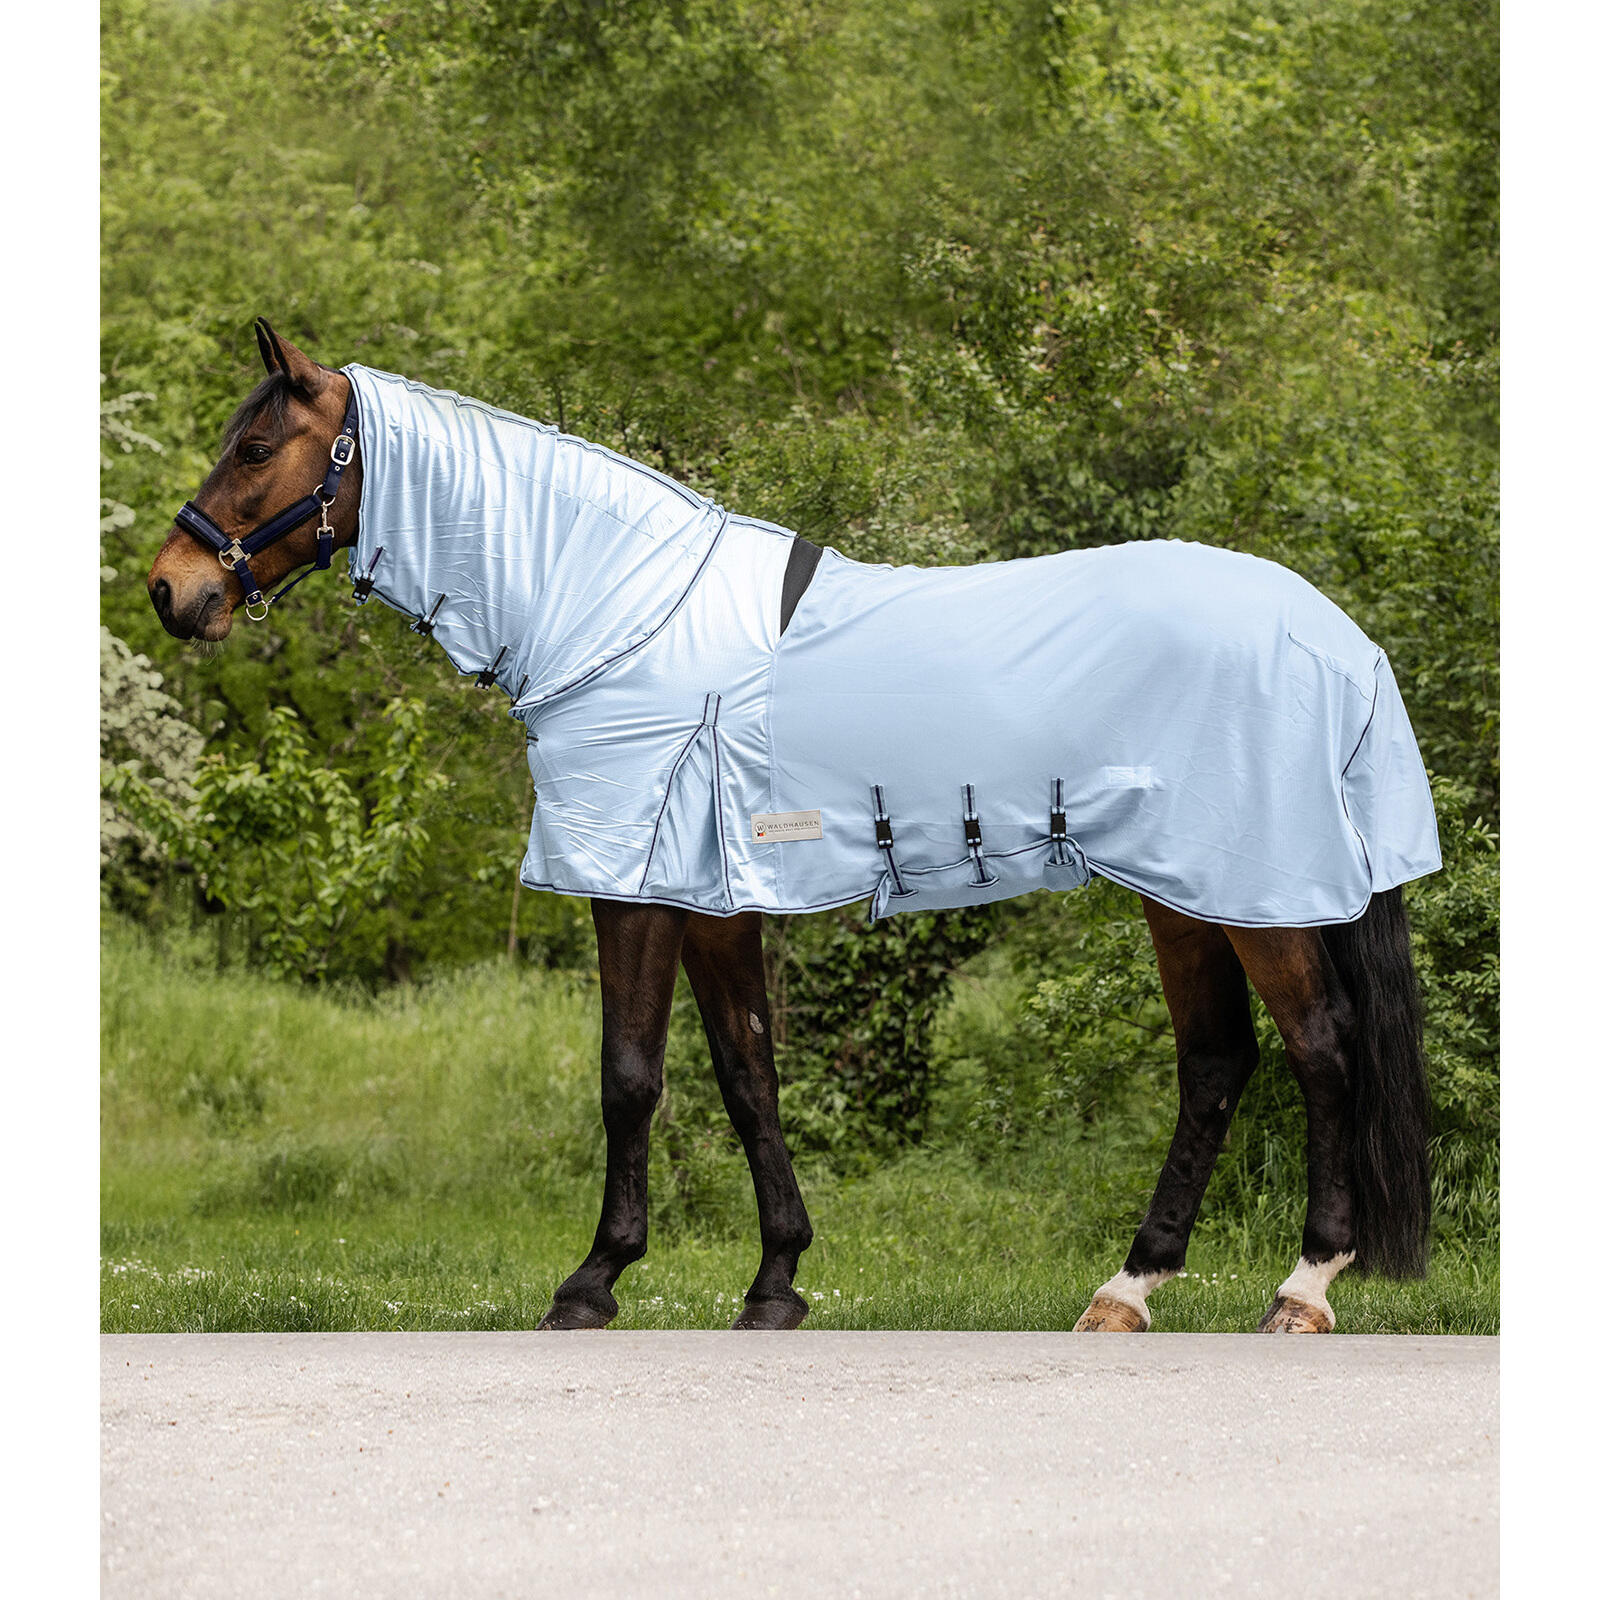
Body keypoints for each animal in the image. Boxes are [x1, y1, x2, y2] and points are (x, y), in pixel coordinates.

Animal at [146, 319, 1437, 1335]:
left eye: (256, 446)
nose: (169, 589)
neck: (615, 606)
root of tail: (1334, 633)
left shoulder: (638, 887)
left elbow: (631, 1076)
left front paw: (592, 1281)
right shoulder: (715, 901)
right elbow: (747, 1074)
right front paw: (775, 1281)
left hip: (1254, 894)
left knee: (1321, 1047)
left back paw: (1302, 1287)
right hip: (1186, 894)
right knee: (1216, 1063)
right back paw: (1128, 1289)